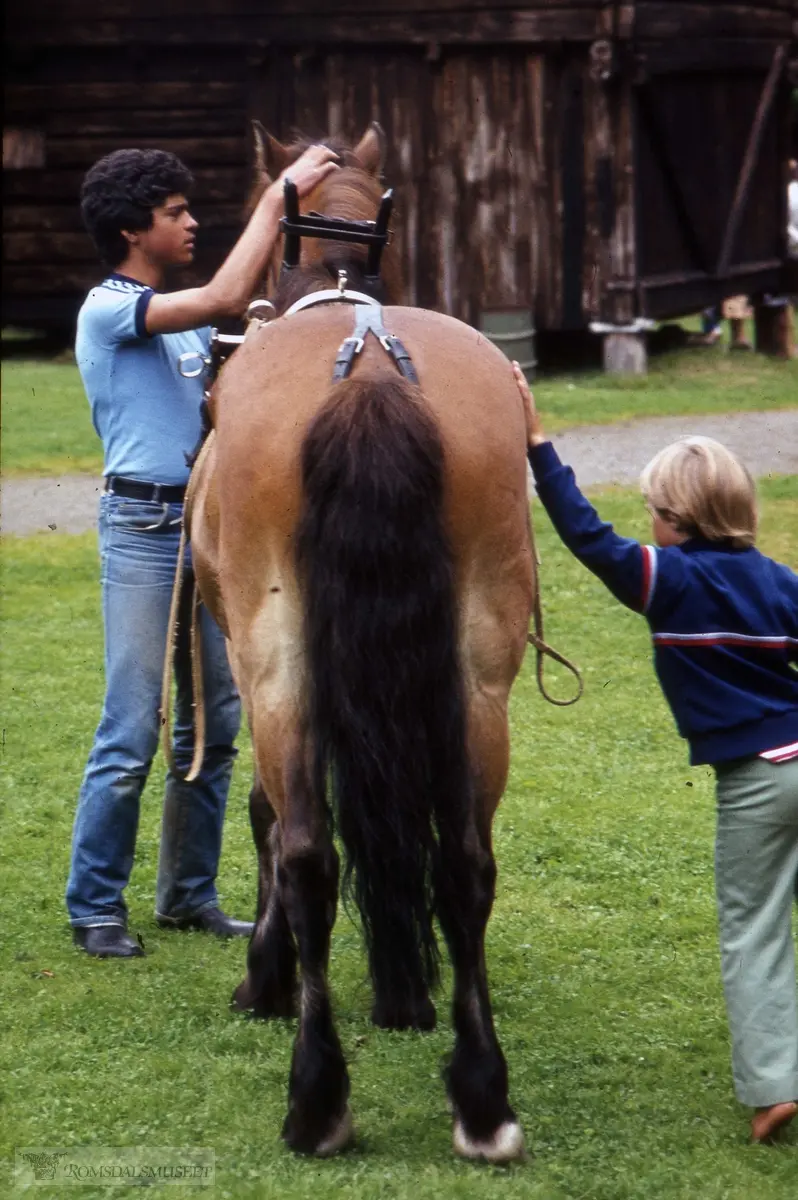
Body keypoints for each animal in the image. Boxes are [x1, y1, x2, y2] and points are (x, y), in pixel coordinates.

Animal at [187, 124, 535, 1161]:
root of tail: (371, 369)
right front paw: (405, 995)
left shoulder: (255, 663)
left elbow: (266, 819)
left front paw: (264, 980)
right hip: (478, 677)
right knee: (463, 862)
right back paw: (483, 1100)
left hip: (278, 667)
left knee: (306, 854)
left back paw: (317, 1100)